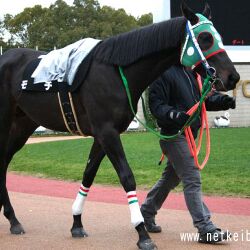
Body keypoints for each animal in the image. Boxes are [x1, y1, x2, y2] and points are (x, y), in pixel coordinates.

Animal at [0, 0, 239, 249]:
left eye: (218, 36)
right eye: (205, 37)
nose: (233, 77)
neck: (116, 71)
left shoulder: (101, 135)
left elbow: (88, 175)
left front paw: (77, 223)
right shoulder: (108, 133)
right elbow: (127, 177)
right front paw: (142, 233)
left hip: (23, 125)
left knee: (4, 161)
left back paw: (13, 219)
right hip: (6, 120)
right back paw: (12, 219)